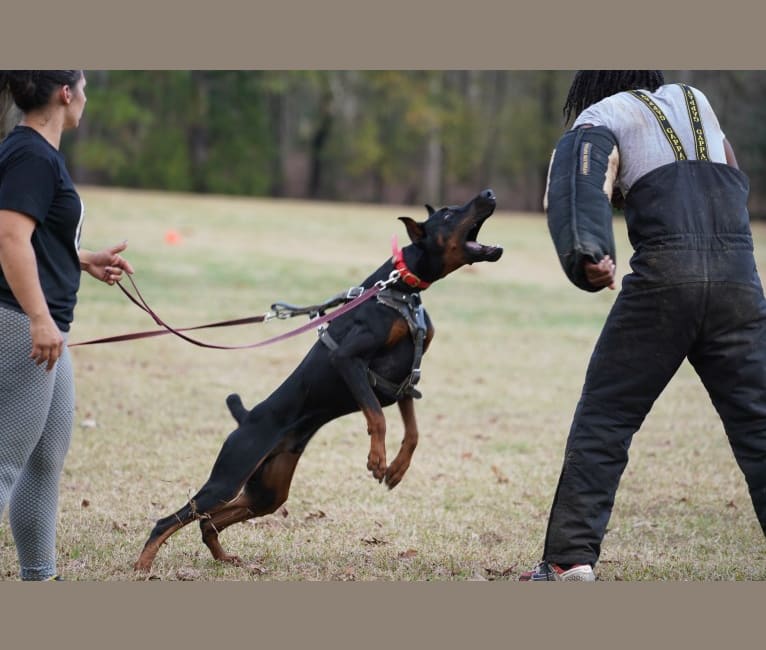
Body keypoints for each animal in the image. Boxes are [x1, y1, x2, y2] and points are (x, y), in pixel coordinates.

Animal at [134, 186, 504, 568]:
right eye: (447, 215)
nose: (489, 192)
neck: (400, 288)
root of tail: (246, 417)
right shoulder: (348, 359)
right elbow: (377, 415)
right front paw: (377, 460)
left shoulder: (405, 382)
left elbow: (413, 432)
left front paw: (397, 469)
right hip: (230, 475)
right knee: (171, 519)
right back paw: (143, 565)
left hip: (269, 489)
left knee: (209, 520)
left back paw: (224, 557)